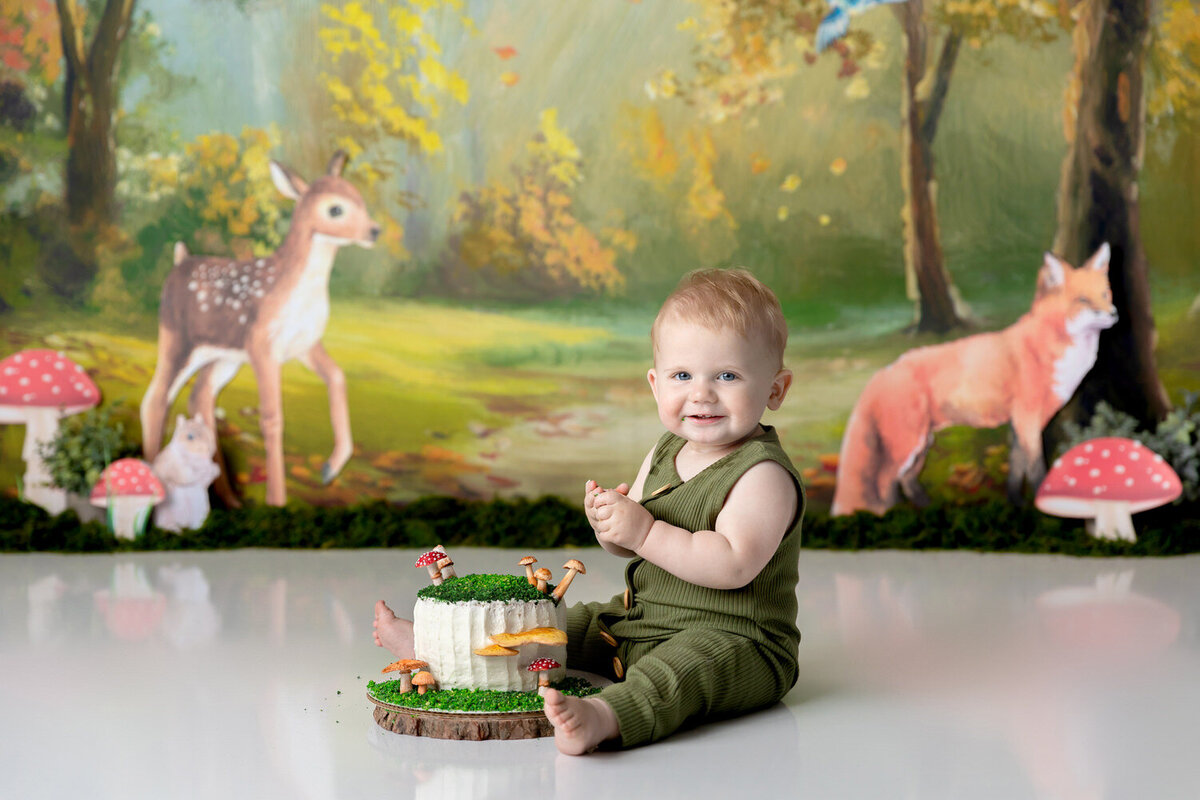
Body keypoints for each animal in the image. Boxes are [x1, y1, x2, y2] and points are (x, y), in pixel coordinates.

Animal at [835, 244, 1113, 515]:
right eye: (1082, 300)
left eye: (1105, 294)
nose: (1113, 314)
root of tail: (884, 371)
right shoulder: (1027, 419)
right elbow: (1035, 469)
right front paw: (1041, 508)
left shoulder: (1020, 423)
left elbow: (1016, 468)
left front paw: (1016, 503)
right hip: (907, 444)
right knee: (884, 484)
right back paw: (888, 515)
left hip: (922, 443)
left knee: (905, 480)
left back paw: (926, 506)